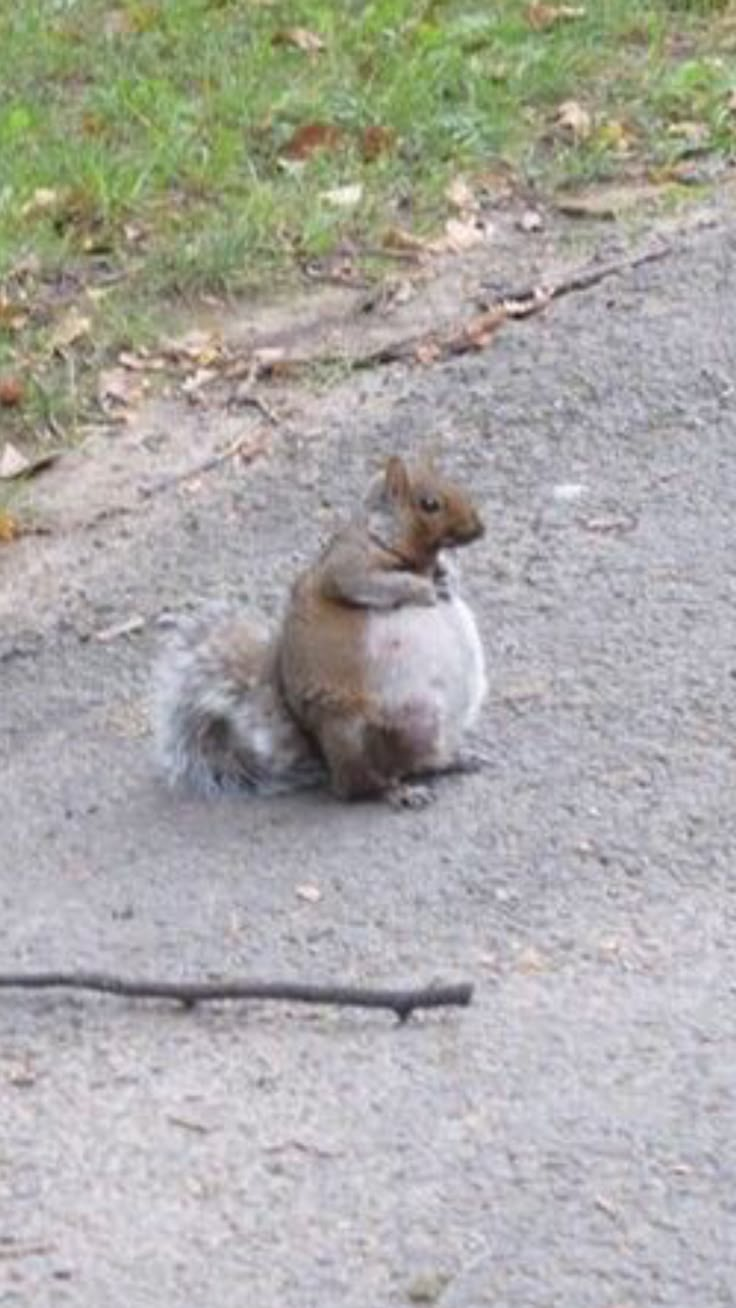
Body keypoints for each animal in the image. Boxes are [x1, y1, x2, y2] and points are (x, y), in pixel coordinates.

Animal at [154, 457, 488, 805]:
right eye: (430, 504)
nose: (480, 528)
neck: (382, 534)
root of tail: (324, 757)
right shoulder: (347, 568)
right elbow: (376, 583)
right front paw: (424, 589)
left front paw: (448, 578)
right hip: (355, 732)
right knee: (362, 784)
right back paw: (400, 792)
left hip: (424, 727)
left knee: (418, 762)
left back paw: (455, 760)